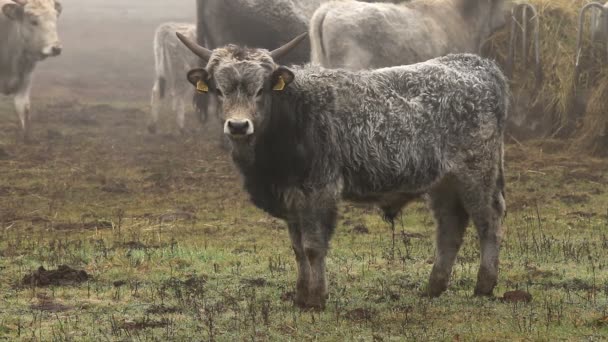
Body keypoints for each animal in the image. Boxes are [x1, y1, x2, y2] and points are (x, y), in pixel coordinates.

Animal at [0, 0, 62, 140]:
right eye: (33, 21)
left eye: (55, 18)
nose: (56, 48)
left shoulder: (26, 77)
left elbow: (23, 107)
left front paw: (26, 139)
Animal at [176, 33, 508, 308]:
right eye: (219, 91)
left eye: (260, 90)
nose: (238, 126)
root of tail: (478, 64)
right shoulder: (292, 198)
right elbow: (297, 249)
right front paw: (301, 296)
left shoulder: (319, 191)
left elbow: (313, 247)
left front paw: (317, 298)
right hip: (443, 183)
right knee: (450, 227)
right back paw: (434, 287)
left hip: (477, 173)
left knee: (487, 221)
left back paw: (484, 284)